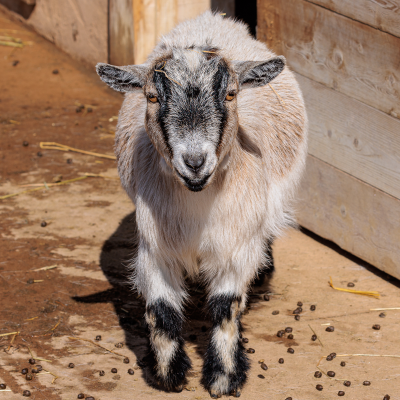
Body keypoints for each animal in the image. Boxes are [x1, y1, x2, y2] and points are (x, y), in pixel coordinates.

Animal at [96, 10, 306, 398]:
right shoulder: (155, 243)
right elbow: (161, 308)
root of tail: (213, 17)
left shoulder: (237, 241)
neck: (198, 202)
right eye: (151, 97)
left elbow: (225, 307)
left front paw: (224, 378)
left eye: (231, 93)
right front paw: (169, 374)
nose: (194, 161)